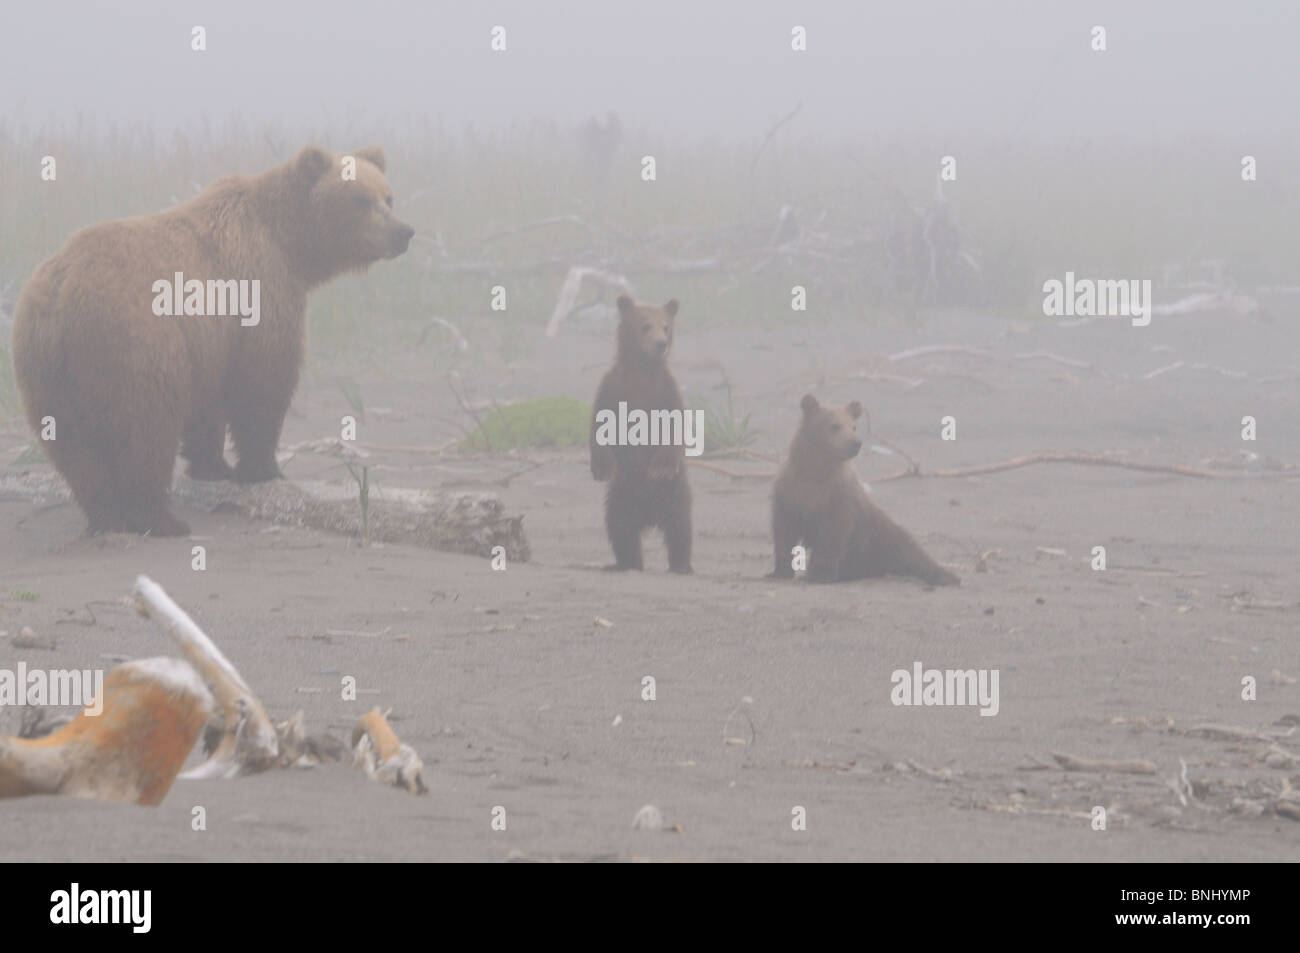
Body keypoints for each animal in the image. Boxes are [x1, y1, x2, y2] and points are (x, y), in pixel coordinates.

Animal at [11, 146, 414, 536]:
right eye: (361, 200)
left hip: (45, 368)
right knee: (146, 429)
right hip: (134, 342)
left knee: (72, 447)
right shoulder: (258, 291)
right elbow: (263, 383)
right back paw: (161, 519)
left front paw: (214, 465)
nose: (403, 232)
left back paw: (106, 514)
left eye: (388, 197)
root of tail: (62, 295)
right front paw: (263, 468)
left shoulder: (212, 341)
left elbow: (210, 402)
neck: (289, 243)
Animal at [589, 295, 692, 573]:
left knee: (680, 527)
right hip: (621, 495)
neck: (643, 371)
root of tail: (650, 516)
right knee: (620, 527)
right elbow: (600, 422)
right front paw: (602, 468)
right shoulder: (613, 387)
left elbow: (674, 426)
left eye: (666, 326)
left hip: (674, 492)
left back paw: (682, 564)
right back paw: (627, 563)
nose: (661, 344)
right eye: (645, 325)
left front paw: (660, 467)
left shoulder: (665, 390)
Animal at [771, 395, 959, 586]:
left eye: (853, 426)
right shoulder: (790, 494)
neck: (815, 473)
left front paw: (820, 575)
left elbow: (831, 538)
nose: (855, 443)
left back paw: (945, 575)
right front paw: (779, 572)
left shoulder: (838, 498)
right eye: (834, 425)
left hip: (878, 533)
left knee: (908, 549)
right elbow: (784, 532)